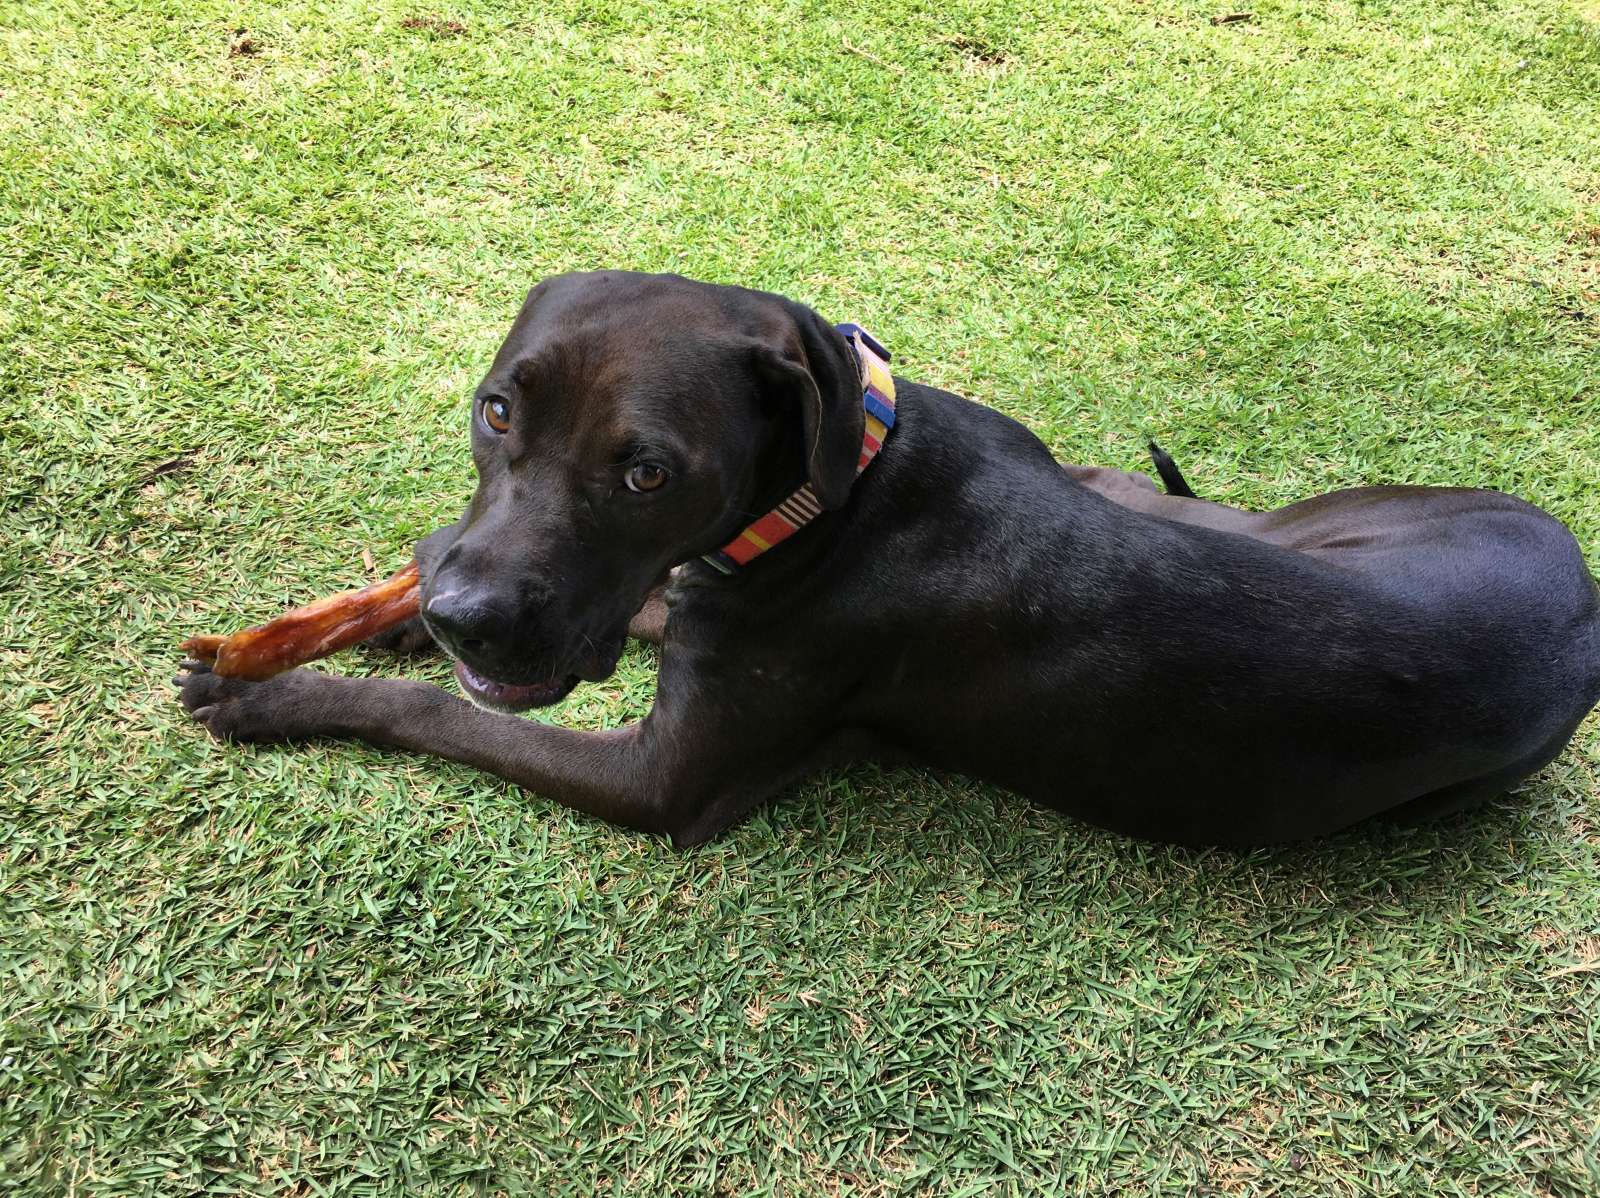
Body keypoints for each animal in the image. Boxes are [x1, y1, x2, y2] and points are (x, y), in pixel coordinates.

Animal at [177, 271, 1600, 847]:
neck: (835, 491)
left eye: (649, 471)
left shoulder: (665, 779)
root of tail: (1582, 596)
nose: (471, 609)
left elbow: (438, 716)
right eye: (495, 411)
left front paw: (270, 694)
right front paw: (354, 619)